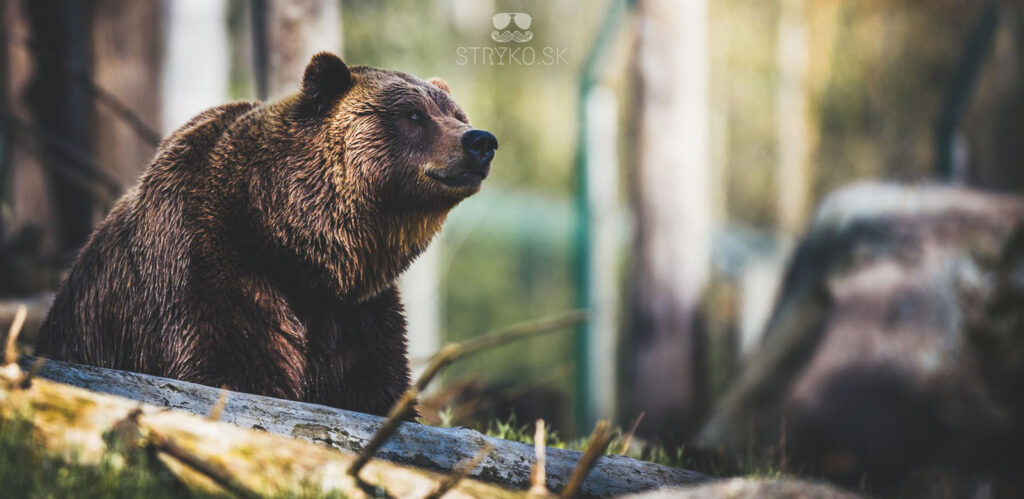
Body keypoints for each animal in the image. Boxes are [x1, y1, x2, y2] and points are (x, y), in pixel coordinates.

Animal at [38, 51, 499, 418]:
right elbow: (230, 369)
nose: (480, 141)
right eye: (414, 115)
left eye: (457, 115)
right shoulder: (205, 271)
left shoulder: (356, 313)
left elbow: (372, 387)